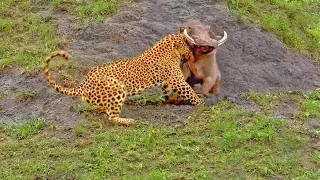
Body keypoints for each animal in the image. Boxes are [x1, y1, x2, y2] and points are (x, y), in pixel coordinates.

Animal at [43, 28, 202, 126]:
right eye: (188, 46)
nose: (192, 54)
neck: (169, 50)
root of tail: (83, 86)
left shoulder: (168, 81)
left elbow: (168, 92)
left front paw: (174, 100)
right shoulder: (177, 81)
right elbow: (189, 92)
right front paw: (201, 102)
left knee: (105, 110)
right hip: (117, 88)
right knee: (111, 118)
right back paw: (129, 121)